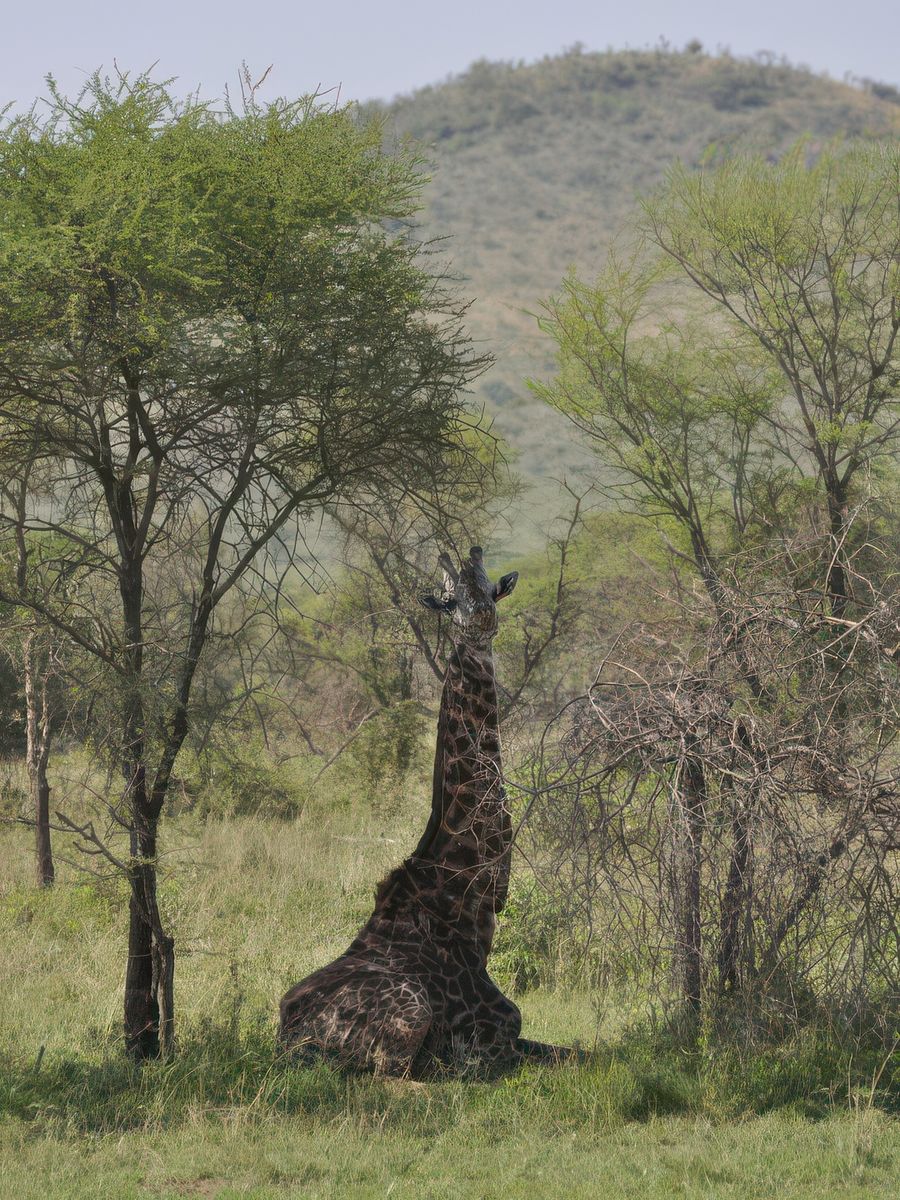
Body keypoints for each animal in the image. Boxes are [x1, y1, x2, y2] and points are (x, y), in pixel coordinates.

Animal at [278, 546, 573, 1075]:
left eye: (492, 587)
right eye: (449, 600)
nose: (480, 618)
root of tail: (287, 1037)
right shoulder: (492, 1042)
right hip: (409, 1018)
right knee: (394, 1078)